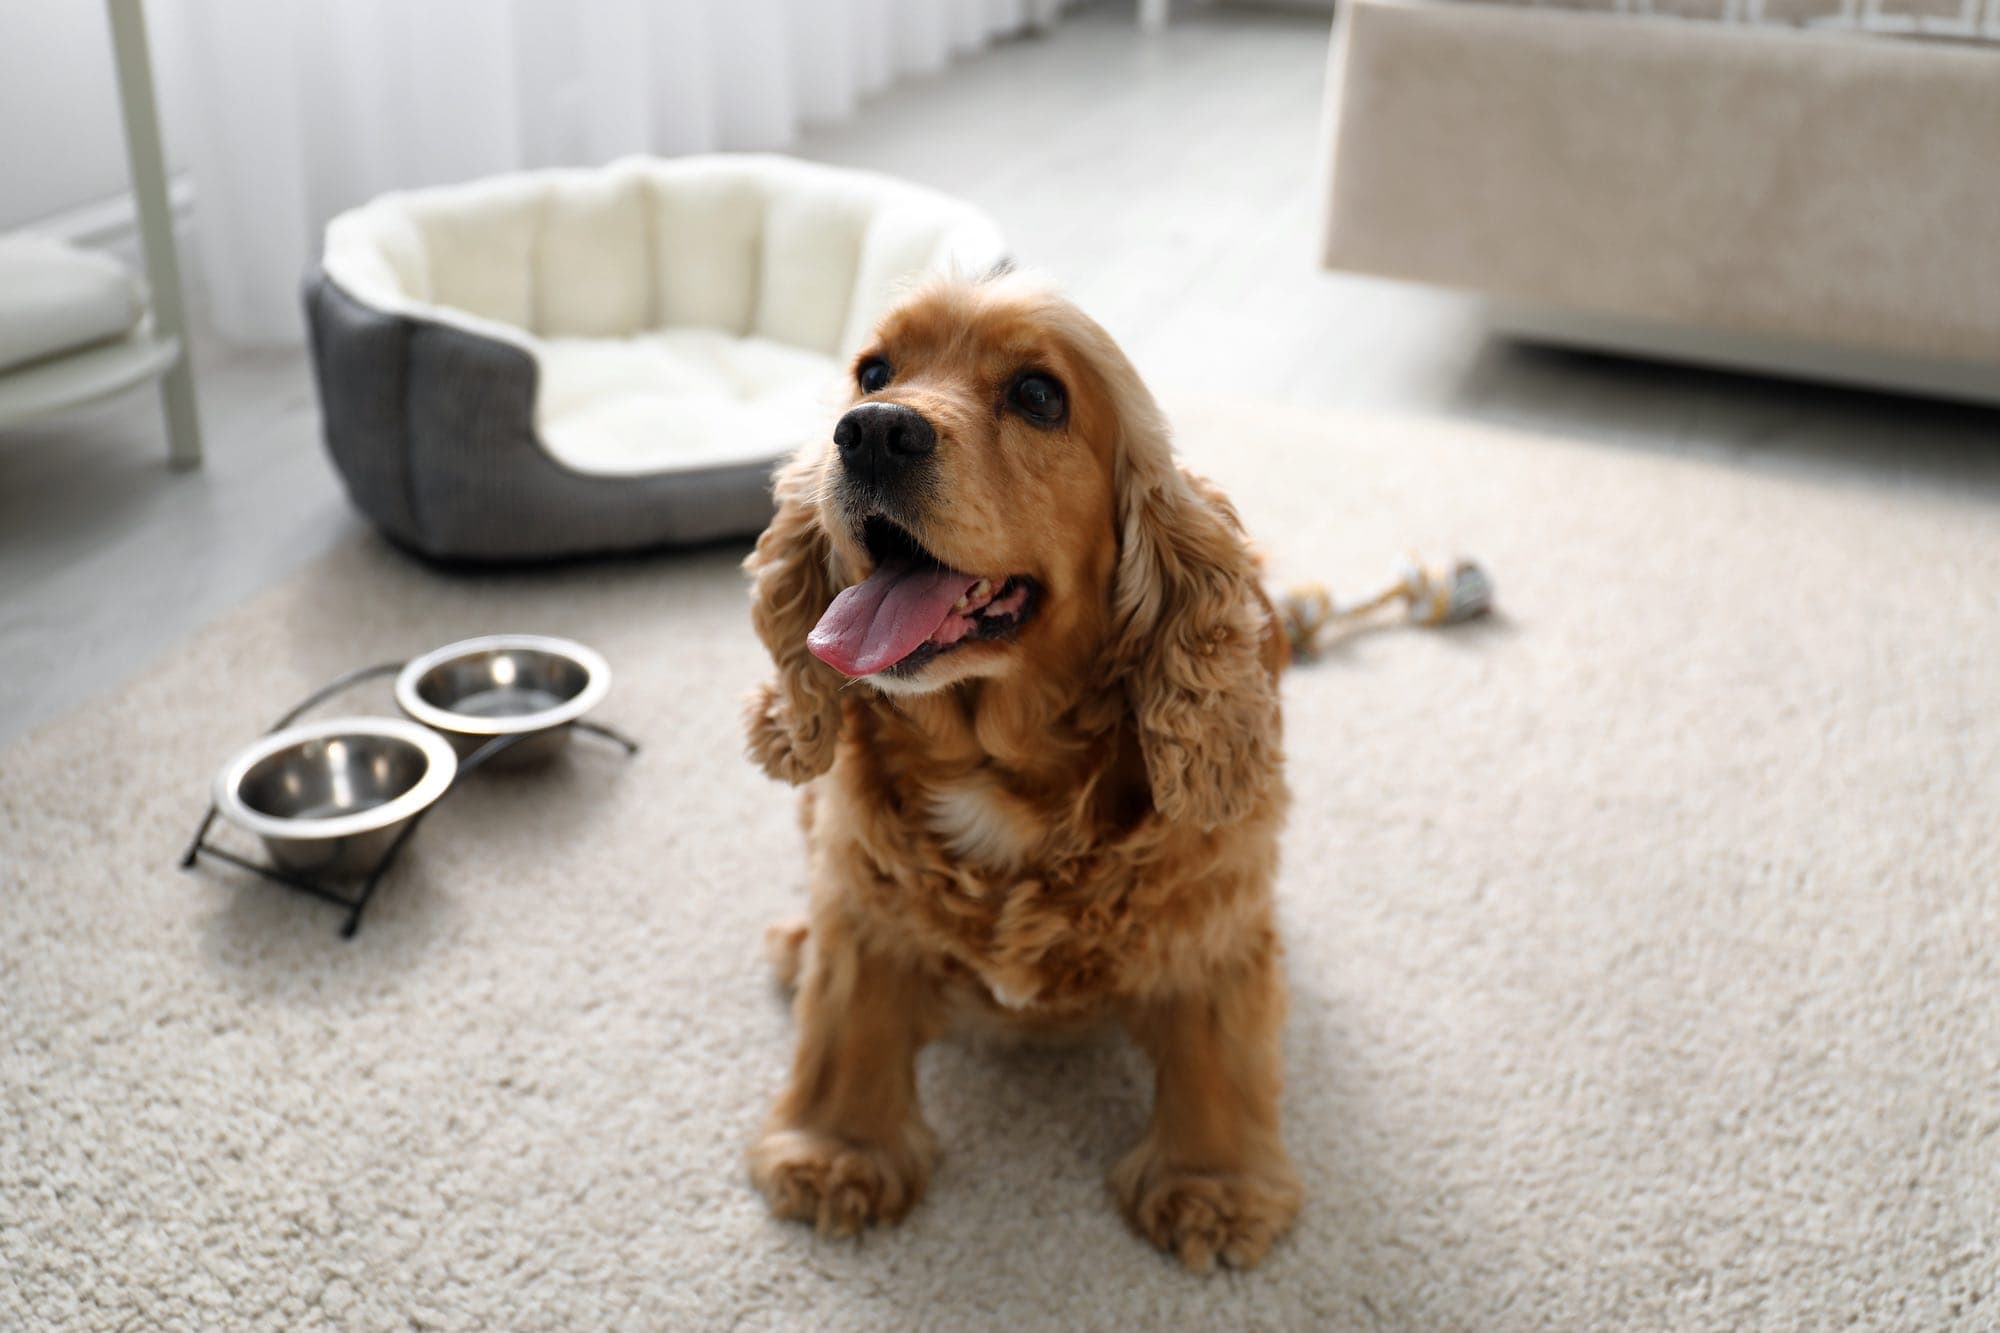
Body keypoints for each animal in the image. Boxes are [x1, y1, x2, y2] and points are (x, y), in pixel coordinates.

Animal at [740, 268, 1296, 1264]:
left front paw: (1214, 1185)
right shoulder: (863, 893)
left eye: (1040, 395)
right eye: (871, 370)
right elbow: (848, 1014)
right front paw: (837, 1151)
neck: (995, 767)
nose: (871, 429)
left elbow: (1220, 1048)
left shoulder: (1212, 915)